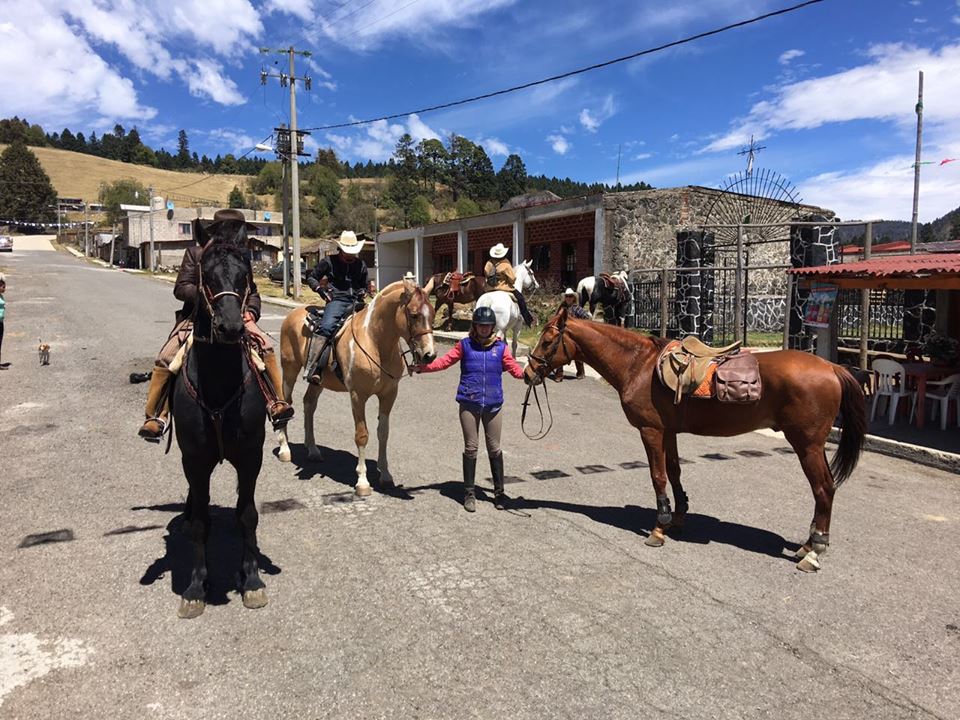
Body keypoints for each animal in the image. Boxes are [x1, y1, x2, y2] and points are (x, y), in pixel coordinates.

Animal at [276, 278, 436, 498]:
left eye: (433, 313)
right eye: (413, 314)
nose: (429, 355)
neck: (375, 341)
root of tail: (293, 314)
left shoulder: (389, 394)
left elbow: (383, 432)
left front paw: (386, 475)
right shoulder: (358, 396)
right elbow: (362, 435)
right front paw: (362, 481)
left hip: (318, 381)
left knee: (309, 404)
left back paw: (313, 450)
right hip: (289, 370)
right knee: (286, 402)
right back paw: (284, 449)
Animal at [524, 310, 872, 572]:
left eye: (548, 340)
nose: (528, 373)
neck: (639, 365)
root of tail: (833, 366)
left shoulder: (650, 430)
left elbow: (657, 476)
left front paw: (659, 527)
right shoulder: (669, 431)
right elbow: (674, 472)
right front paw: (678, 517)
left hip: (807, 445)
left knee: (823, 489)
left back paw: (814, 551)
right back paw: (807, 545)